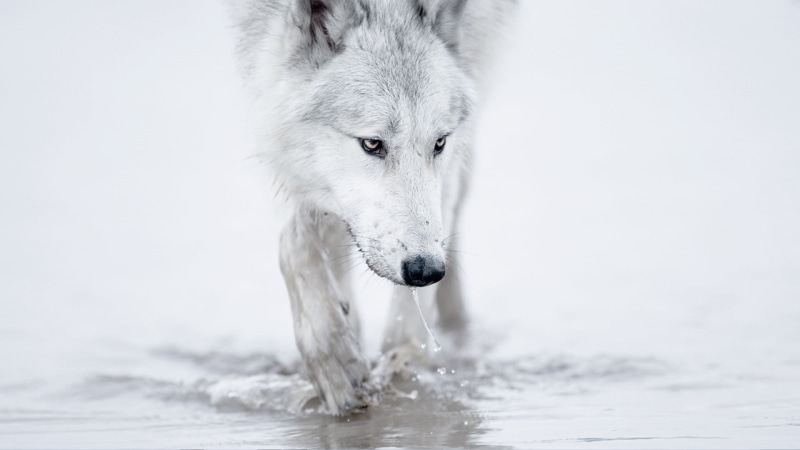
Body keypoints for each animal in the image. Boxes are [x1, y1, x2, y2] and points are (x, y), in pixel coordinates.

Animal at [228, 0, 514, 414]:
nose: (426, 270)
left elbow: (406, 322)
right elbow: (296, 243)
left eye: (439, 143)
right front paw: (335, 360)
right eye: (372, 144)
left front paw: (399, 370)